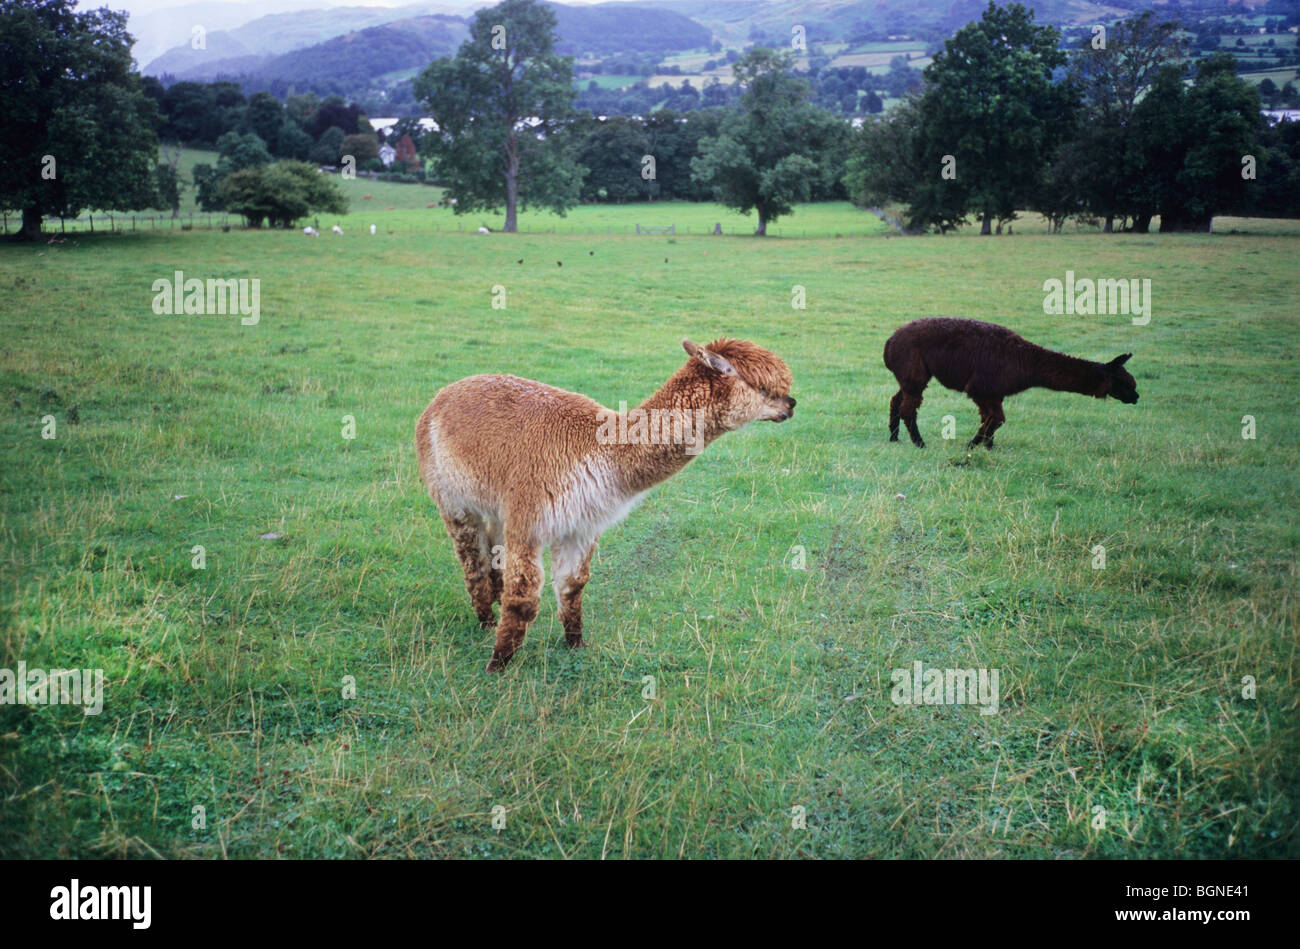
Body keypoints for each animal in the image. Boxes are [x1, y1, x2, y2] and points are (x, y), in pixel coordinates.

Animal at [421, 335, 795, 670]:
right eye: (762, 386)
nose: (791, 404)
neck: (598, 449)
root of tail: (446, 392)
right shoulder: (530, 519)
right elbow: (524, 598)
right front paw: (498, 664)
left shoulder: (581, 526)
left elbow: (573, 586)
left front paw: (575, 645)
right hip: (450, 496)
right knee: (473, 559)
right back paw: (485, 621)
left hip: (498, 504)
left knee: (493, 547)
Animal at [883, 318, 1138, 447]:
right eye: (1125, 383)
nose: (1136, 398)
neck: (1025, 362)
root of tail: (890, 341)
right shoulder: (982, 388)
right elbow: (996, 419)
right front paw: (973, 444)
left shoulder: (995, 392)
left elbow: (992, 419)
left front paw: (988, 446)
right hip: (914, 369)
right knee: (908, 408)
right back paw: (919, 442)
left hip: (910, 374)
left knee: (896, 400)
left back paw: (894, 437)